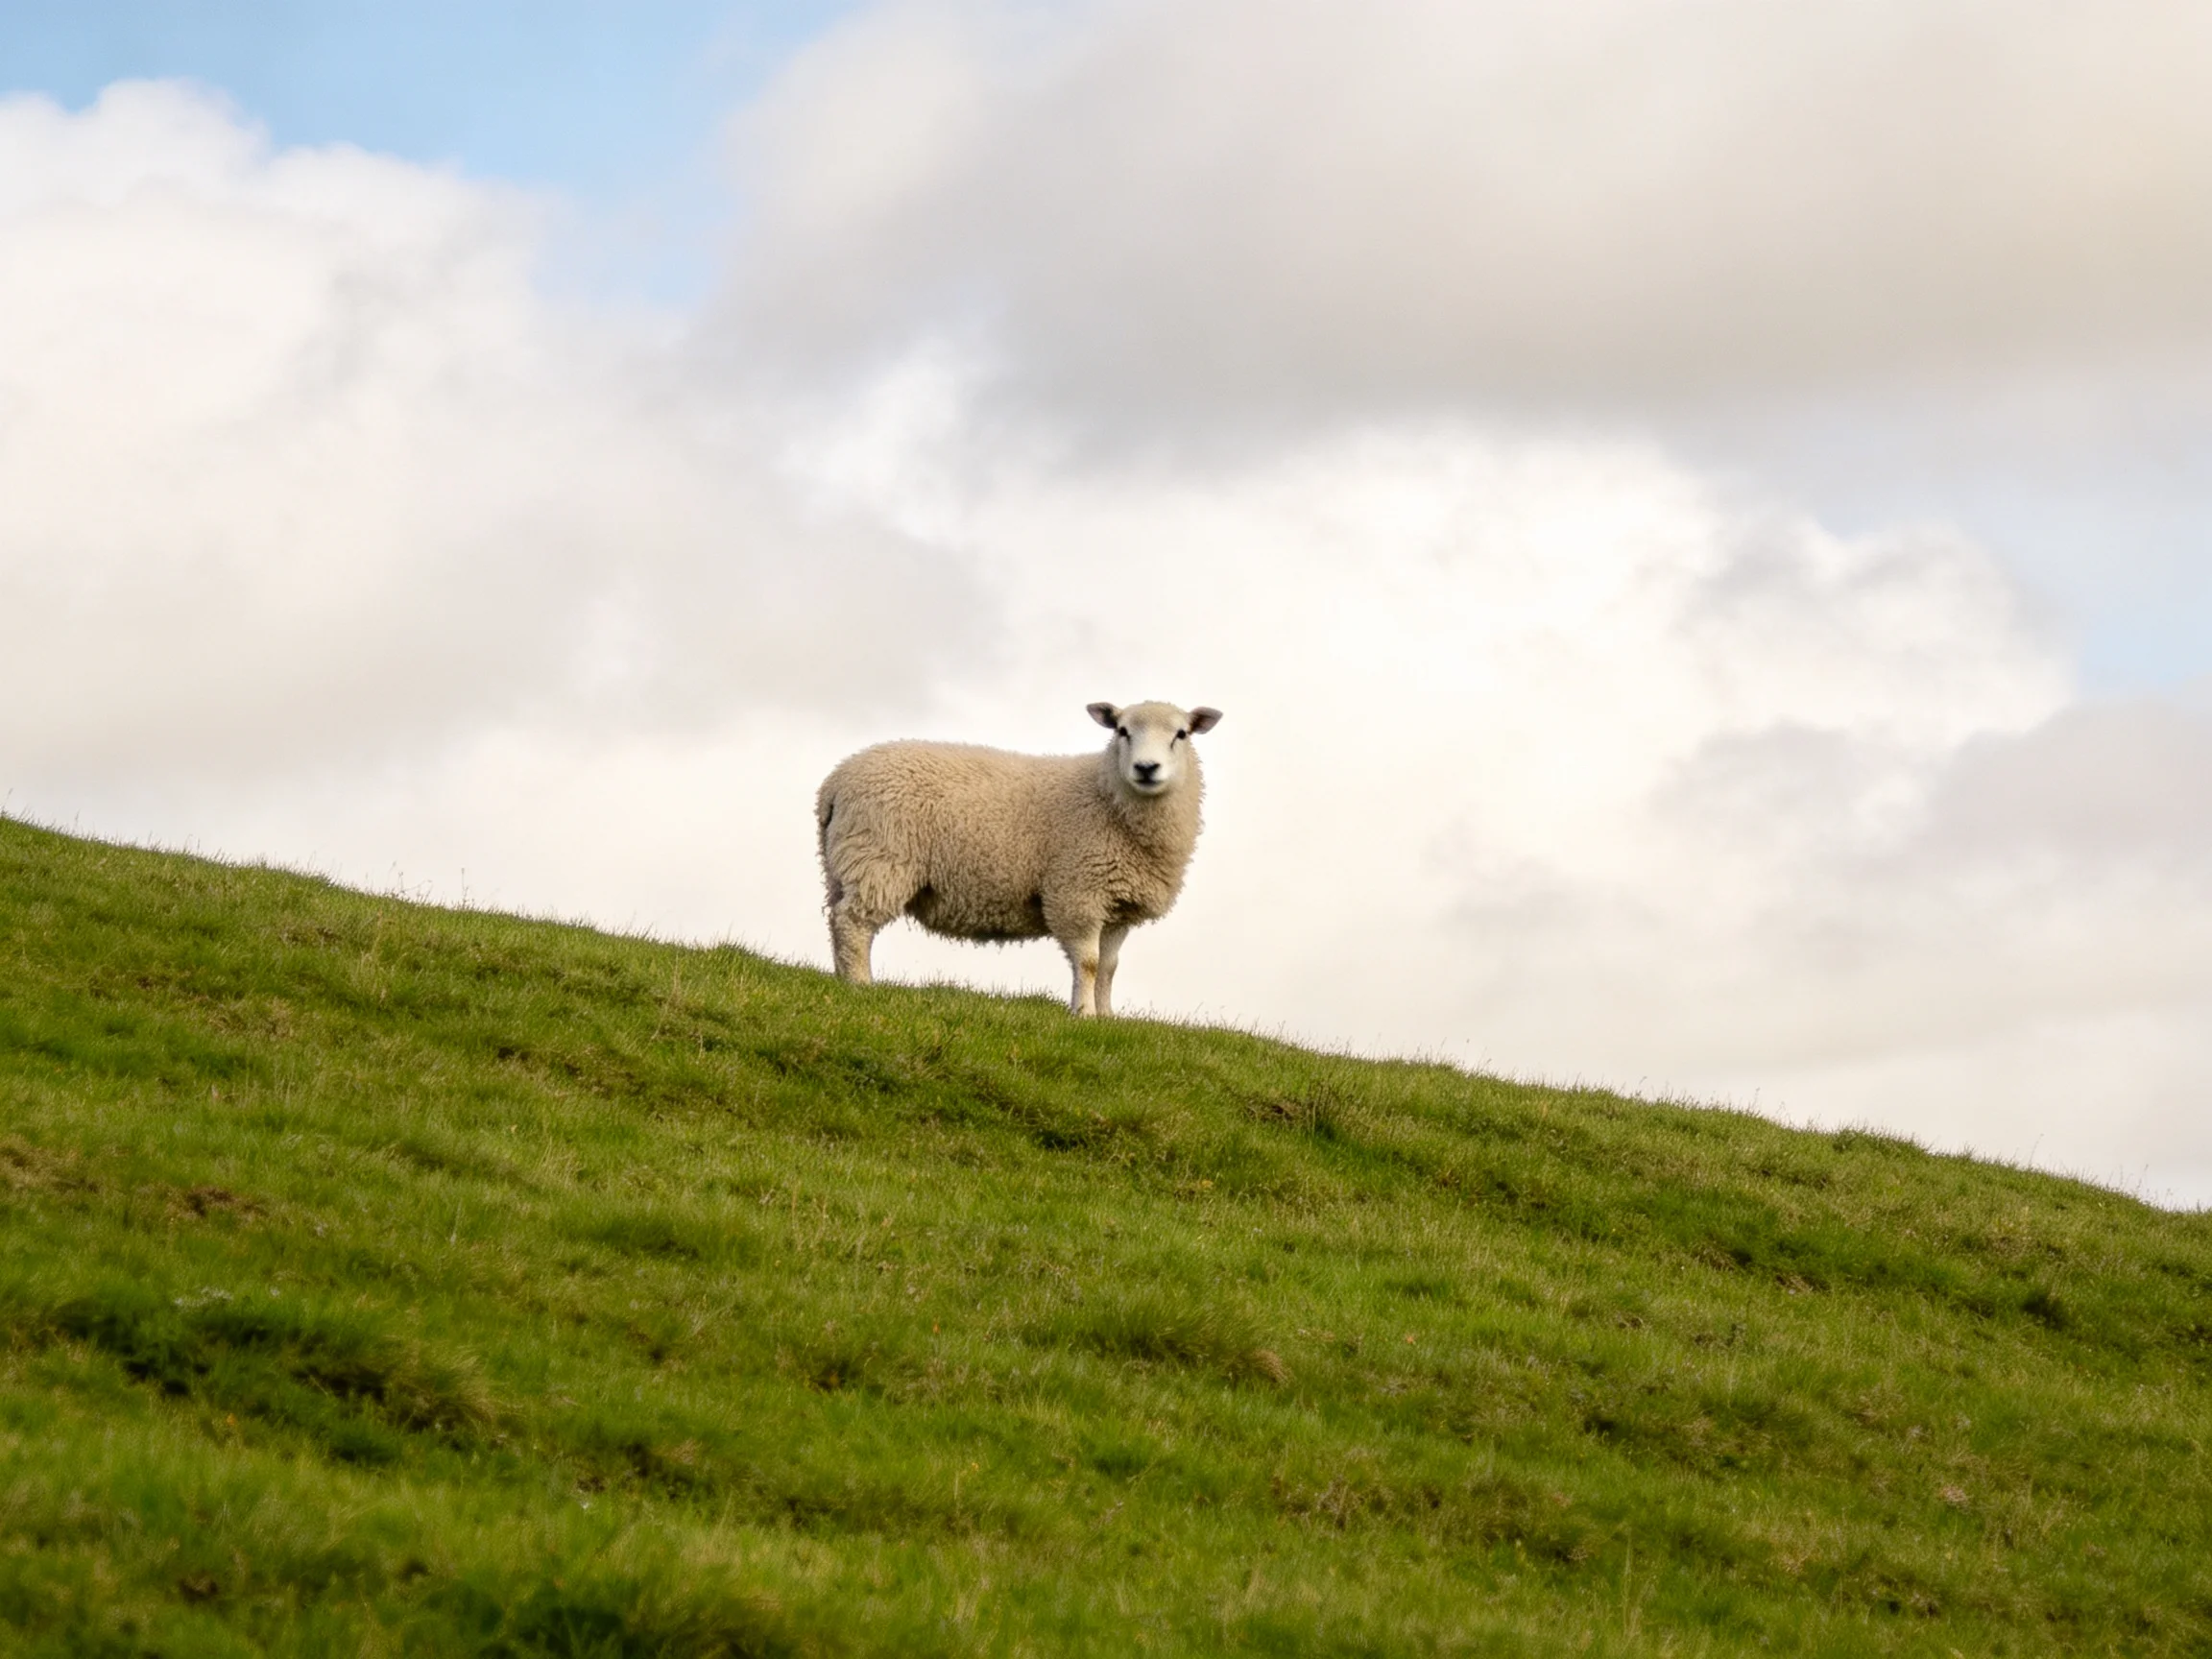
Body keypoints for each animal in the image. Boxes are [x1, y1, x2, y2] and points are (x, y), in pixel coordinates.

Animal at [815, 700, 1223, 1016]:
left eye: (1181, 734)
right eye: (1122, 730)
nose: (1146, 768)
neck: (1108, 799)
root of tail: (836, 781)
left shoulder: (1118, 905)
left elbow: (1108, 967)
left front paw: (1107, 1017)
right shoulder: (1077, 894)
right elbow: (1089, 963)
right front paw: (1083, 1014)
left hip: (844, 863)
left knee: (837, 920)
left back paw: (842, 979)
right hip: (880, 861)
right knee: (853, 924)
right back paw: (861, 984)